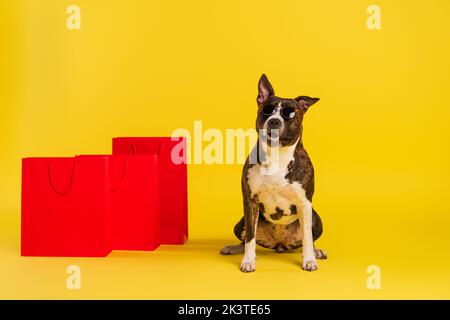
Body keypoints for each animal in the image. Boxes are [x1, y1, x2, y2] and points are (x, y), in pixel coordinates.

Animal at [219, 74, 326, 272]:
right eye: (267, 110)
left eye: (290, 113)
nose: (274, 121)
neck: (277, 155)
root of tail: (279, 244)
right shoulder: (250, 202)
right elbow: (250, 238)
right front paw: (248, 261)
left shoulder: (304, 203)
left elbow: (307, 237)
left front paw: (309, 259)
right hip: (240, 223)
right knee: (245, 238)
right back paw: (233, 248)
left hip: (316, 218)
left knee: (309, 239)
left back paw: (317, 251)